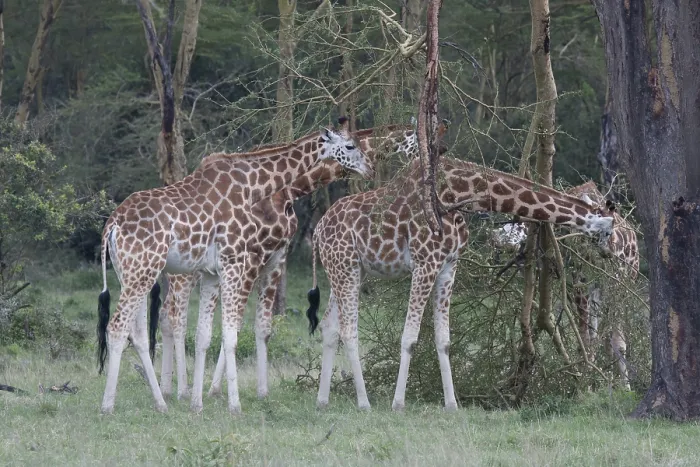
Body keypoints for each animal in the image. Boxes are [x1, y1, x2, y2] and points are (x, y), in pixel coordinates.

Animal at [96, 123, 373, 415]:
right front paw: (234, 405)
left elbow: (204, 335)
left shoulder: (212, 272)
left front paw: (198, 404)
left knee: (137, 333)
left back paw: (161, 403)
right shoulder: (235, 261)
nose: (369, 168)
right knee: (119, 327)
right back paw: (108, 405)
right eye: (350, 146)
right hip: (146, 271)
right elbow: (231, 335)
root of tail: (112, 225)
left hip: (132, 273)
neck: (255, 186)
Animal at [155, 122, 420, 405]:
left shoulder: (276, 257)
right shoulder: (253, 256)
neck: (288, 192)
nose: (372, 170)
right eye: (419, 142)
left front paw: (260, 391)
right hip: (186, 272)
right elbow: (236, 323)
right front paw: (216, 390)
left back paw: (167, 387)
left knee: (166, 314)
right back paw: (182, 390)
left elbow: (262, 326)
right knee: (177, 317)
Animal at [306, 157, 617, 411]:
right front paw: (398, 403)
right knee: (349, 330)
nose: (609, 254)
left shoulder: (447, 267)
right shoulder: (425, 263)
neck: (461, 194)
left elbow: (443, 340)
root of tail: (317, 231)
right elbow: (410, 337)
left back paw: (322, 401)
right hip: (345, 267)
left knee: (329, 326)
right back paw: (364, 403)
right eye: (609, 230)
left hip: (349, 270)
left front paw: (452, 405)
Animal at [491, 180, 639, 389]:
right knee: (598, 336)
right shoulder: (579, 284)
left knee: (607, 337)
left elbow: (611, 340)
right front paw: (588, 381)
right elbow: (586, 337)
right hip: (594, 290)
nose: (495, 238)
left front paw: (609, 386)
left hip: (613, 287)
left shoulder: (615, 287)